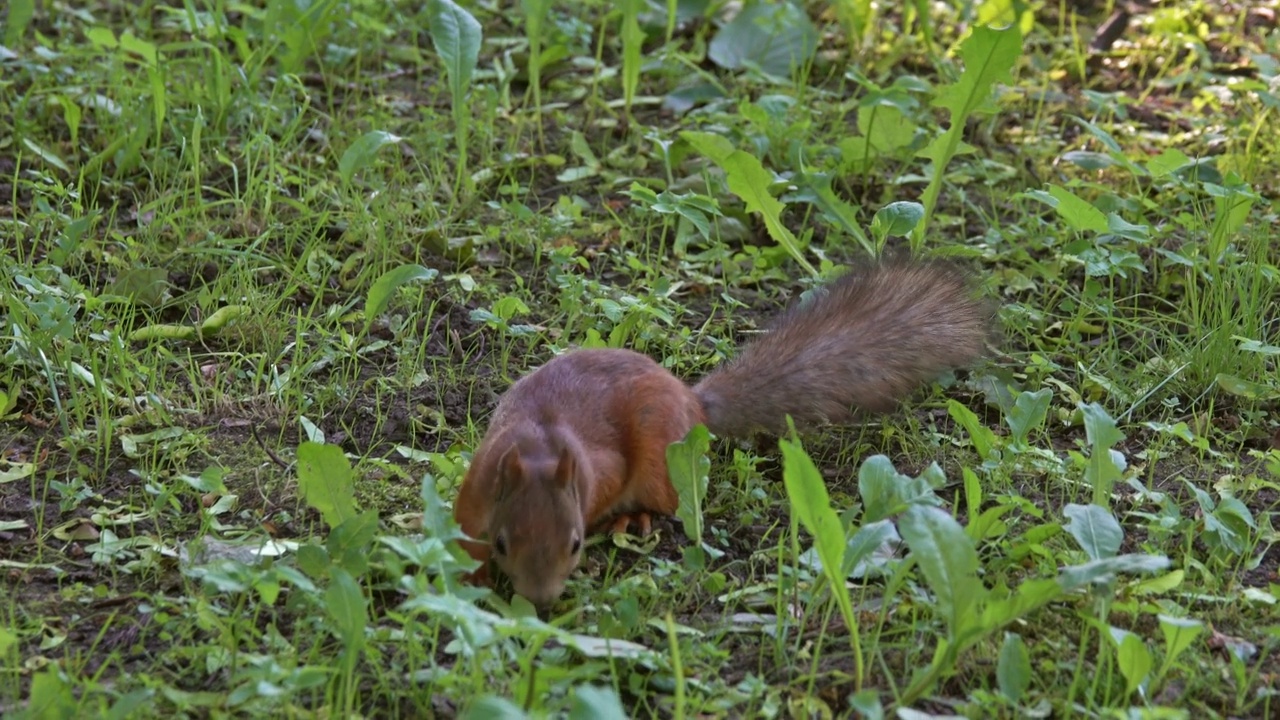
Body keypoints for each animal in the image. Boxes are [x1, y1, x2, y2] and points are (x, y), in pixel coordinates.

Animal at [455, 257, 993, 604]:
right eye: (503, 543)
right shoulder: (477, 491)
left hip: (660, 462)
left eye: (574, 544)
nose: (541, 602)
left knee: (666, 500)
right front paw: (473, 579)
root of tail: (693, 403)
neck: (540, 448)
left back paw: (634, 518)